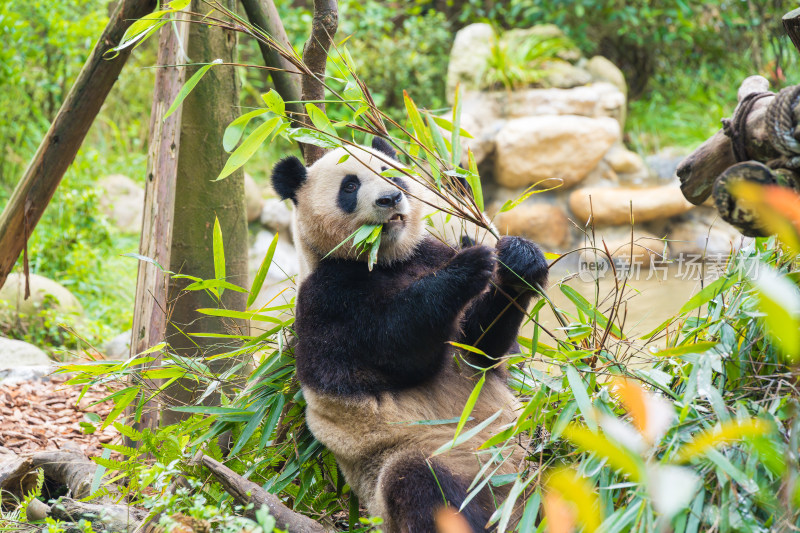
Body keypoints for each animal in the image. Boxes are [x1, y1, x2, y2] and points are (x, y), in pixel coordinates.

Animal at [272, 139, 548, 528]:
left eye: (391, 173)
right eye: (350, 186)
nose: (390, 198)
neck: (385, 258)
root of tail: (513, 506)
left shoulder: (425, 253)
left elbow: (480, 347)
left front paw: (518, 259)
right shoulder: (327, 299)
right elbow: (395, 348)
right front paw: (468, 265)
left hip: (531, 446)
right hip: (417, 456)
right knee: (423, 488)